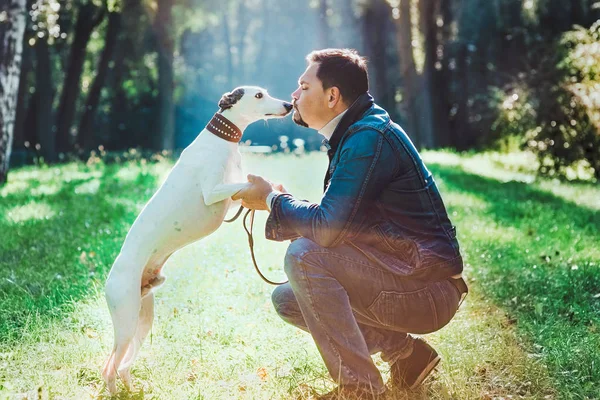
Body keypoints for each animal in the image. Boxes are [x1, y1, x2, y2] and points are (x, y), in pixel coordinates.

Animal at [101, 86, 292, 396]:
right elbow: (246, 184)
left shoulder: (229, 202)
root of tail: (111, 277)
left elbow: (249, 187)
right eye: (259, 95)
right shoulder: (214, 192)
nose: (289, 105)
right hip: (126, 320)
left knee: (123, 365)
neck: (220, 141)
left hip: (143, 319)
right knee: (108, 367)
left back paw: (134, 390)